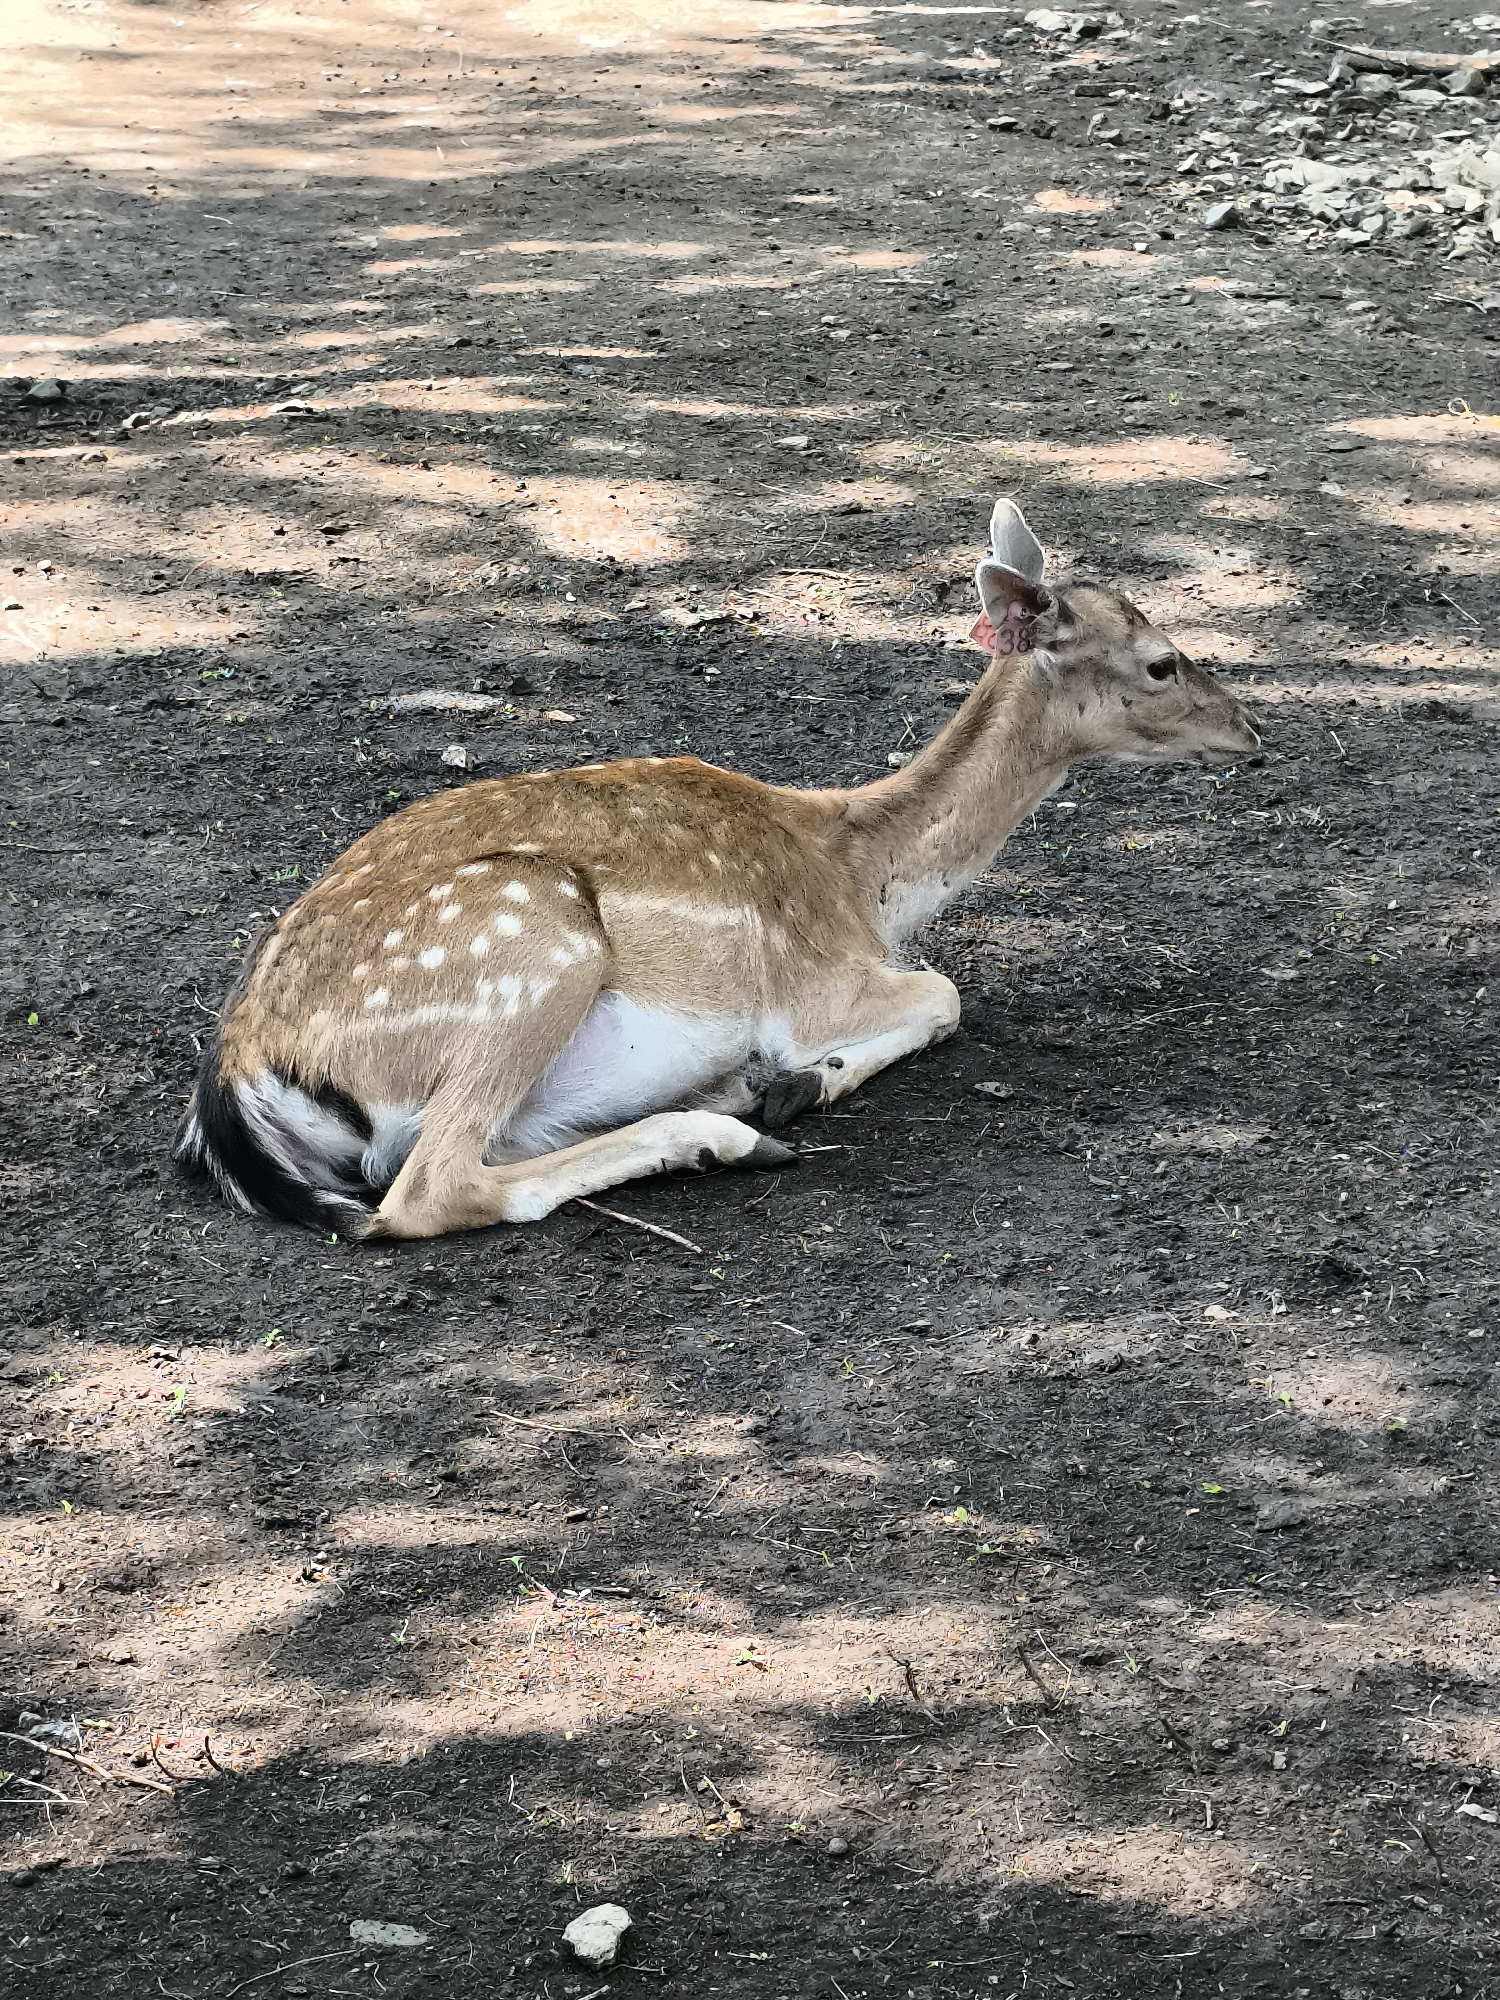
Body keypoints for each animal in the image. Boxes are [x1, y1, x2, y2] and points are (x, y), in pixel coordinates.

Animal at [177, 498, 1258, 1240]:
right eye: (1162, 660)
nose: (1252, 729)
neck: (862, 877)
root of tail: (236, 1088)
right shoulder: (815, 982)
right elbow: (946, 993)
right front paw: (802, 1081)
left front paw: (784, 1084)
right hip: (532, 942)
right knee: (429, 1187)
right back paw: (732, 1130)